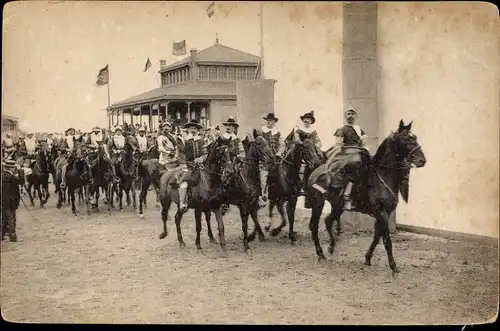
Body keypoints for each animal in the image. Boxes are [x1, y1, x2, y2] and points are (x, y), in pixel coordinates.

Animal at [308, 120, 426, 274]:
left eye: (415, 137)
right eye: (406, 139)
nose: (422, 160)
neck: (382, 176)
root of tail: (314, 173)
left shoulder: (384, 214)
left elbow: (377, 237)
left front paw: (368, 258)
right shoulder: (382, 214)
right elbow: (387, 241)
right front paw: (393, 266)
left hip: (337, 206)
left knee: (328, 221)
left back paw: (331, 248)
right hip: (318, 203)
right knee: (314, 225)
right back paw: (320, 254)